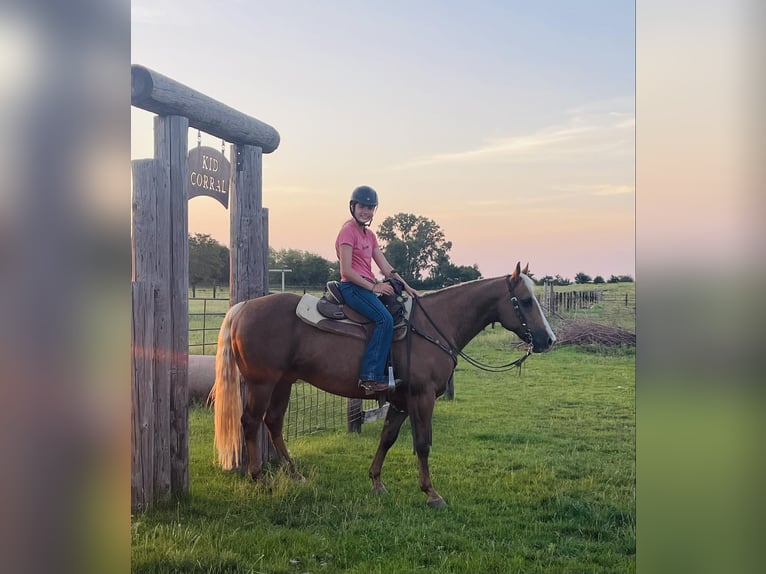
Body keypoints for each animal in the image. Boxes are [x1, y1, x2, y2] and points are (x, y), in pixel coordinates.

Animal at [209, 261, 556, 507]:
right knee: (250, 422)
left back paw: (295, 476)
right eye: (526, 301)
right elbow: (422, 443)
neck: (432, 325)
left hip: (284, 382)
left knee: (274, 423)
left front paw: (376, 482)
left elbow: (387, 438)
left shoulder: (401, 400)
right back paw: (258, 479)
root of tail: (242, 308)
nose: (549, 340)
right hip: (262, 382)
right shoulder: (422, 396)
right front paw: (432, 494)